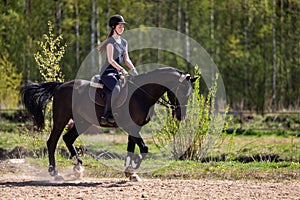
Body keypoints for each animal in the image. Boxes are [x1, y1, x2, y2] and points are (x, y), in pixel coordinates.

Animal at [21, 67, 195, 178]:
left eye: (190, 93)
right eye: (180, 91)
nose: (180, 116)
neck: (141, 94)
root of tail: (60, 86)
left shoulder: (134, 127)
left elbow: (131, 149)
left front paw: (130, 172)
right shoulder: (131, 126)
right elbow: (144, 148)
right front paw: (133, 168)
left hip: (82, 121)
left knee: (67, 138)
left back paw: (78, 165)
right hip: (61, 119)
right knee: (52, 142)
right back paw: (54, 173)